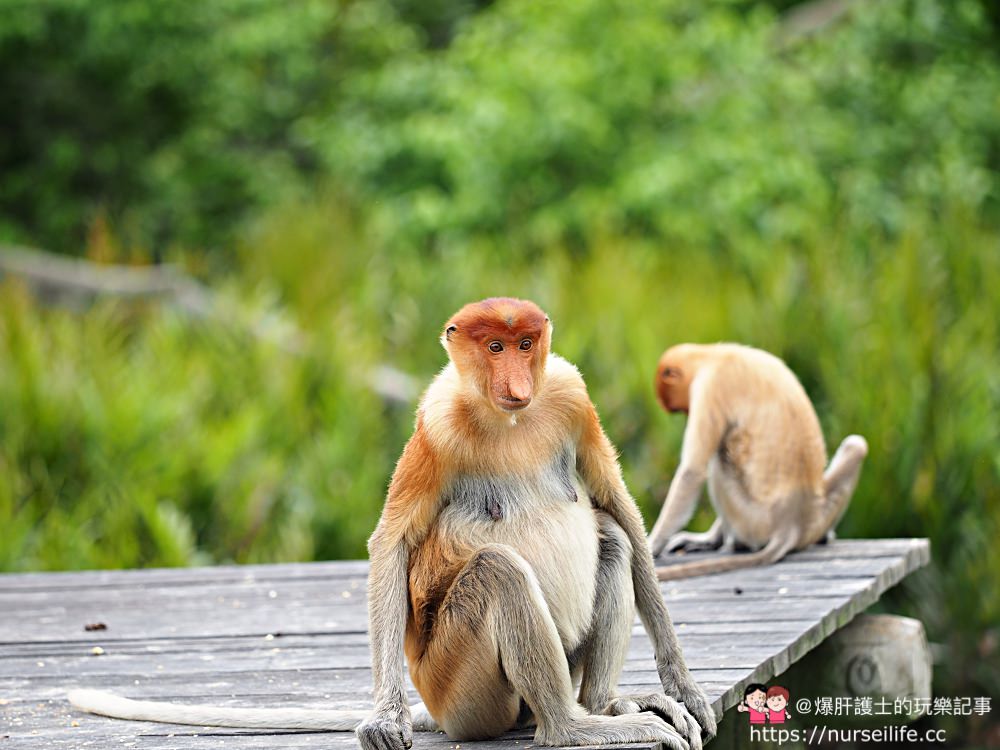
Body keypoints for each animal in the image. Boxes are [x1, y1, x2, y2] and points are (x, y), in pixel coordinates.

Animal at [66, 300, 716, 750]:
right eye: (495, 346)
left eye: (526, 344)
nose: (518, 384)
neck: (506, 420)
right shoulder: (435, 424)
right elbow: (393, 541)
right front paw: (384, 717)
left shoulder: (571, 396)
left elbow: (619, 507)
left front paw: (685, 689)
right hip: (460, 687)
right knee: (500, 571)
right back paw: (571, 728)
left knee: (611, 539)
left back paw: (603, 706)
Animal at [648, 344, 868, 584]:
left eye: (681, 409)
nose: (687, 413)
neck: (712, 355)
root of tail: (790, 523)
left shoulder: (709, 386)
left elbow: (692, 472)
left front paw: (653, 546)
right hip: (817, 515)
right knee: (856, 445)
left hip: (751, 521)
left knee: (718, 459)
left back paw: (736, 543)